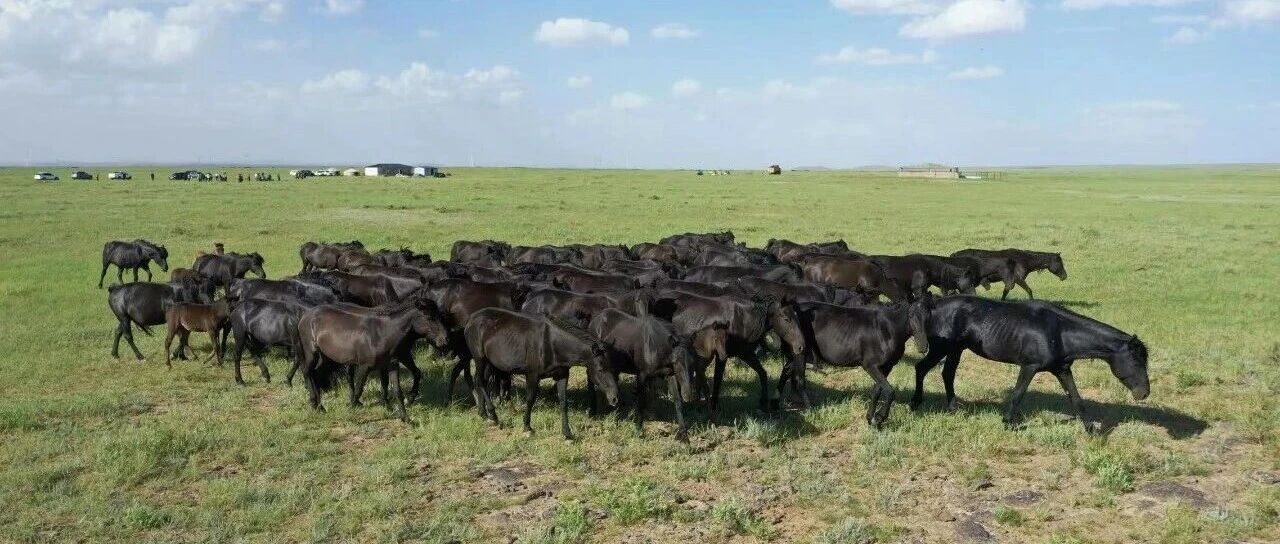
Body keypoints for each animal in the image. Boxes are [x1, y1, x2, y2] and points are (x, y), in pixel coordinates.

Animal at [909, 295, 1147, 434]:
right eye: (1137, 360)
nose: (1144, 393)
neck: (1058, 332)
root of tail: (934, 305)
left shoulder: (1062, 369)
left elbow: (1076, 399)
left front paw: (1091, 430)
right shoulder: (1029, 366)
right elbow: (1017, 394)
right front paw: (1009, 423)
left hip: (956, 349)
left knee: (947, 374)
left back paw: (952, 408)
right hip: (942, 348)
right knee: (921, 368)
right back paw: (915, 403)